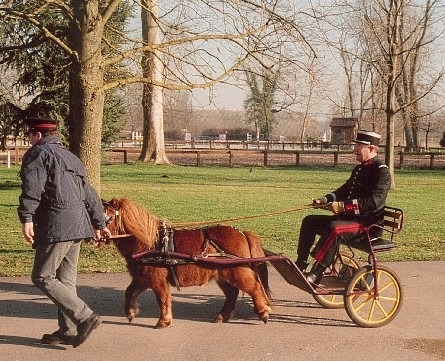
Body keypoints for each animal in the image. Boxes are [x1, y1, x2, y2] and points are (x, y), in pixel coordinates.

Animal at [103, 197, 270, 326]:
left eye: (108, 217)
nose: (98, 235)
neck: (150, 242)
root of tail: (242, 234)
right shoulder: (143, 277)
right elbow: (129, 292)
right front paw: (130, 312)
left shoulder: (157, 280)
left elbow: (162, 298)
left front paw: (164, 321)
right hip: (222, 274)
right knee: (232, 293)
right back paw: (222, 316)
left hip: (237, 271)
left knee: (254, 287)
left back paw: (263, 312)